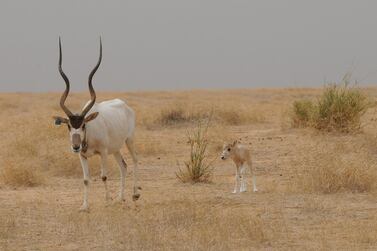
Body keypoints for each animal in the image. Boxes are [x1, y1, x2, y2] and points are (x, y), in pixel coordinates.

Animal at [53, 36, 140, 210]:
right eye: (69, 126)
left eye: (83, 125)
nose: (75, 146)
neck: (89, 136)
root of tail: (124, 105)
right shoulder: (82, 156)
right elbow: (86, 180)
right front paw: (84, 206)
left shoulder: (103, 153)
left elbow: (104, 176)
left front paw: (107, 201)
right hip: (115, 149)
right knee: (123, 166)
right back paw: (120, 198)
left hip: (129, 140)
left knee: (134, 160)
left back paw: (134, 195)